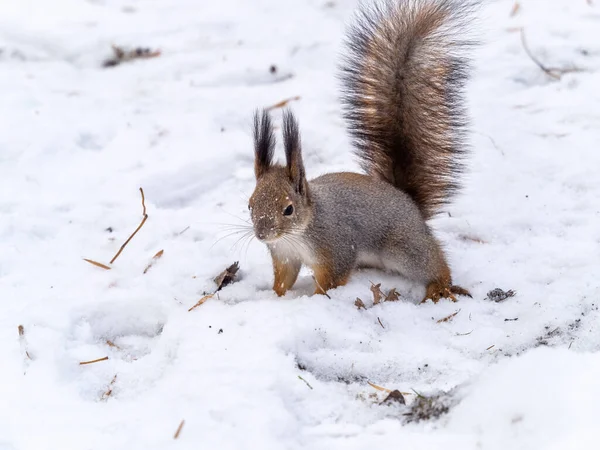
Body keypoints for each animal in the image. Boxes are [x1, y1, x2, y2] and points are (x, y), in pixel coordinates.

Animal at [247, 0, 474, 302]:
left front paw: (317, 299)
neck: (296, 234)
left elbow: (331, 280)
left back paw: (439, 287)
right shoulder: (284, 256)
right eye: (250, 204)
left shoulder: (336, 248)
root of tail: (410, 204)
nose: (261, 234)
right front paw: (275, 297)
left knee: (434, 264)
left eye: (288, 209)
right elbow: (283, 280)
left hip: (405, 248)